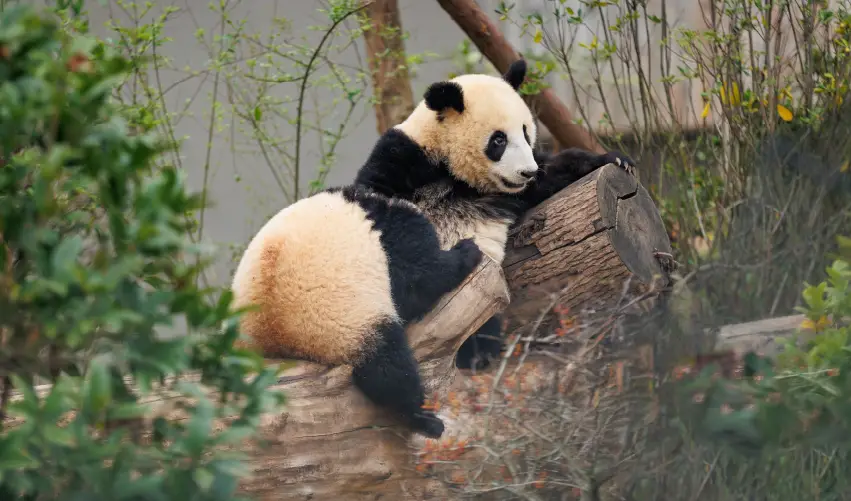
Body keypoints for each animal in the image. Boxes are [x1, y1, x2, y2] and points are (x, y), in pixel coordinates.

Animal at [352, 58, 637, 371]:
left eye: (525, 132)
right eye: (498, 140)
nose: (527, 172)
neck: (457, 174)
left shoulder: (515, 190)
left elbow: (554, 171)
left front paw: (615, 159)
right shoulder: (401, 157)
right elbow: (378, 210)